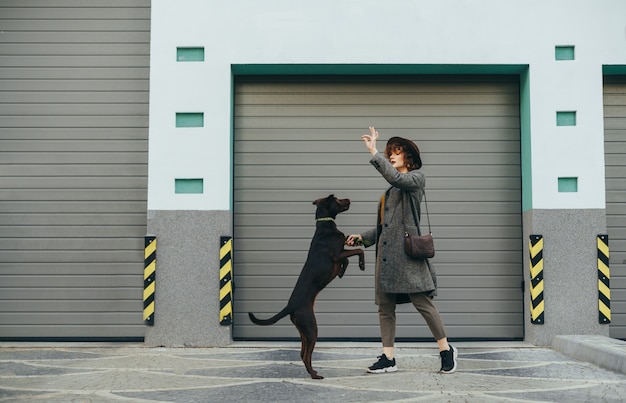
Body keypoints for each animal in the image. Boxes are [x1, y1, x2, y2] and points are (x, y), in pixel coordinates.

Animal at [249, 195, 364, 378]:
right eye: (338, 200)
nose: (349, 199)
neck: (325, 226)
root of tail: (290, 306)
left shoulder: (339, 255)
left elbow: (347, 260)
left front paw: (342, 272)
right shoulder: (337, 254)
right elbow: (359, 251)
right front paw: (361, 264)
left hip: (303, 330)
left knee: (302, 353)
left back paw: (313, 371)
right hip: (311, 327)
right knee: (306, 355)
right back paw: (315, 375)